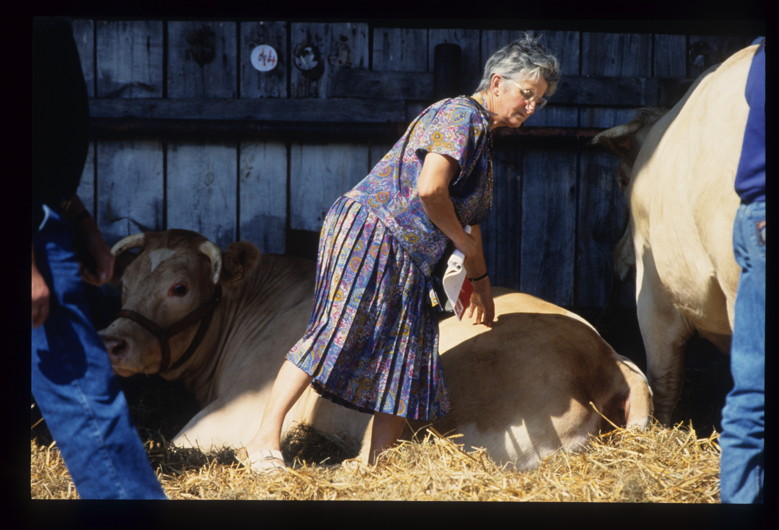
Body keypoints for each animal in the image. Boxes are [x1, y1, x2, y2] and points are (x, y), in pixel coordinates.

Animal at [100, 229, 656, 468]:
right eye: (124, 281)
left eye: (180, 288)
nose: (113, 341)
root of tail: (605, 358)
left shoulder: (234, 414)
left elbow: (176, 443)